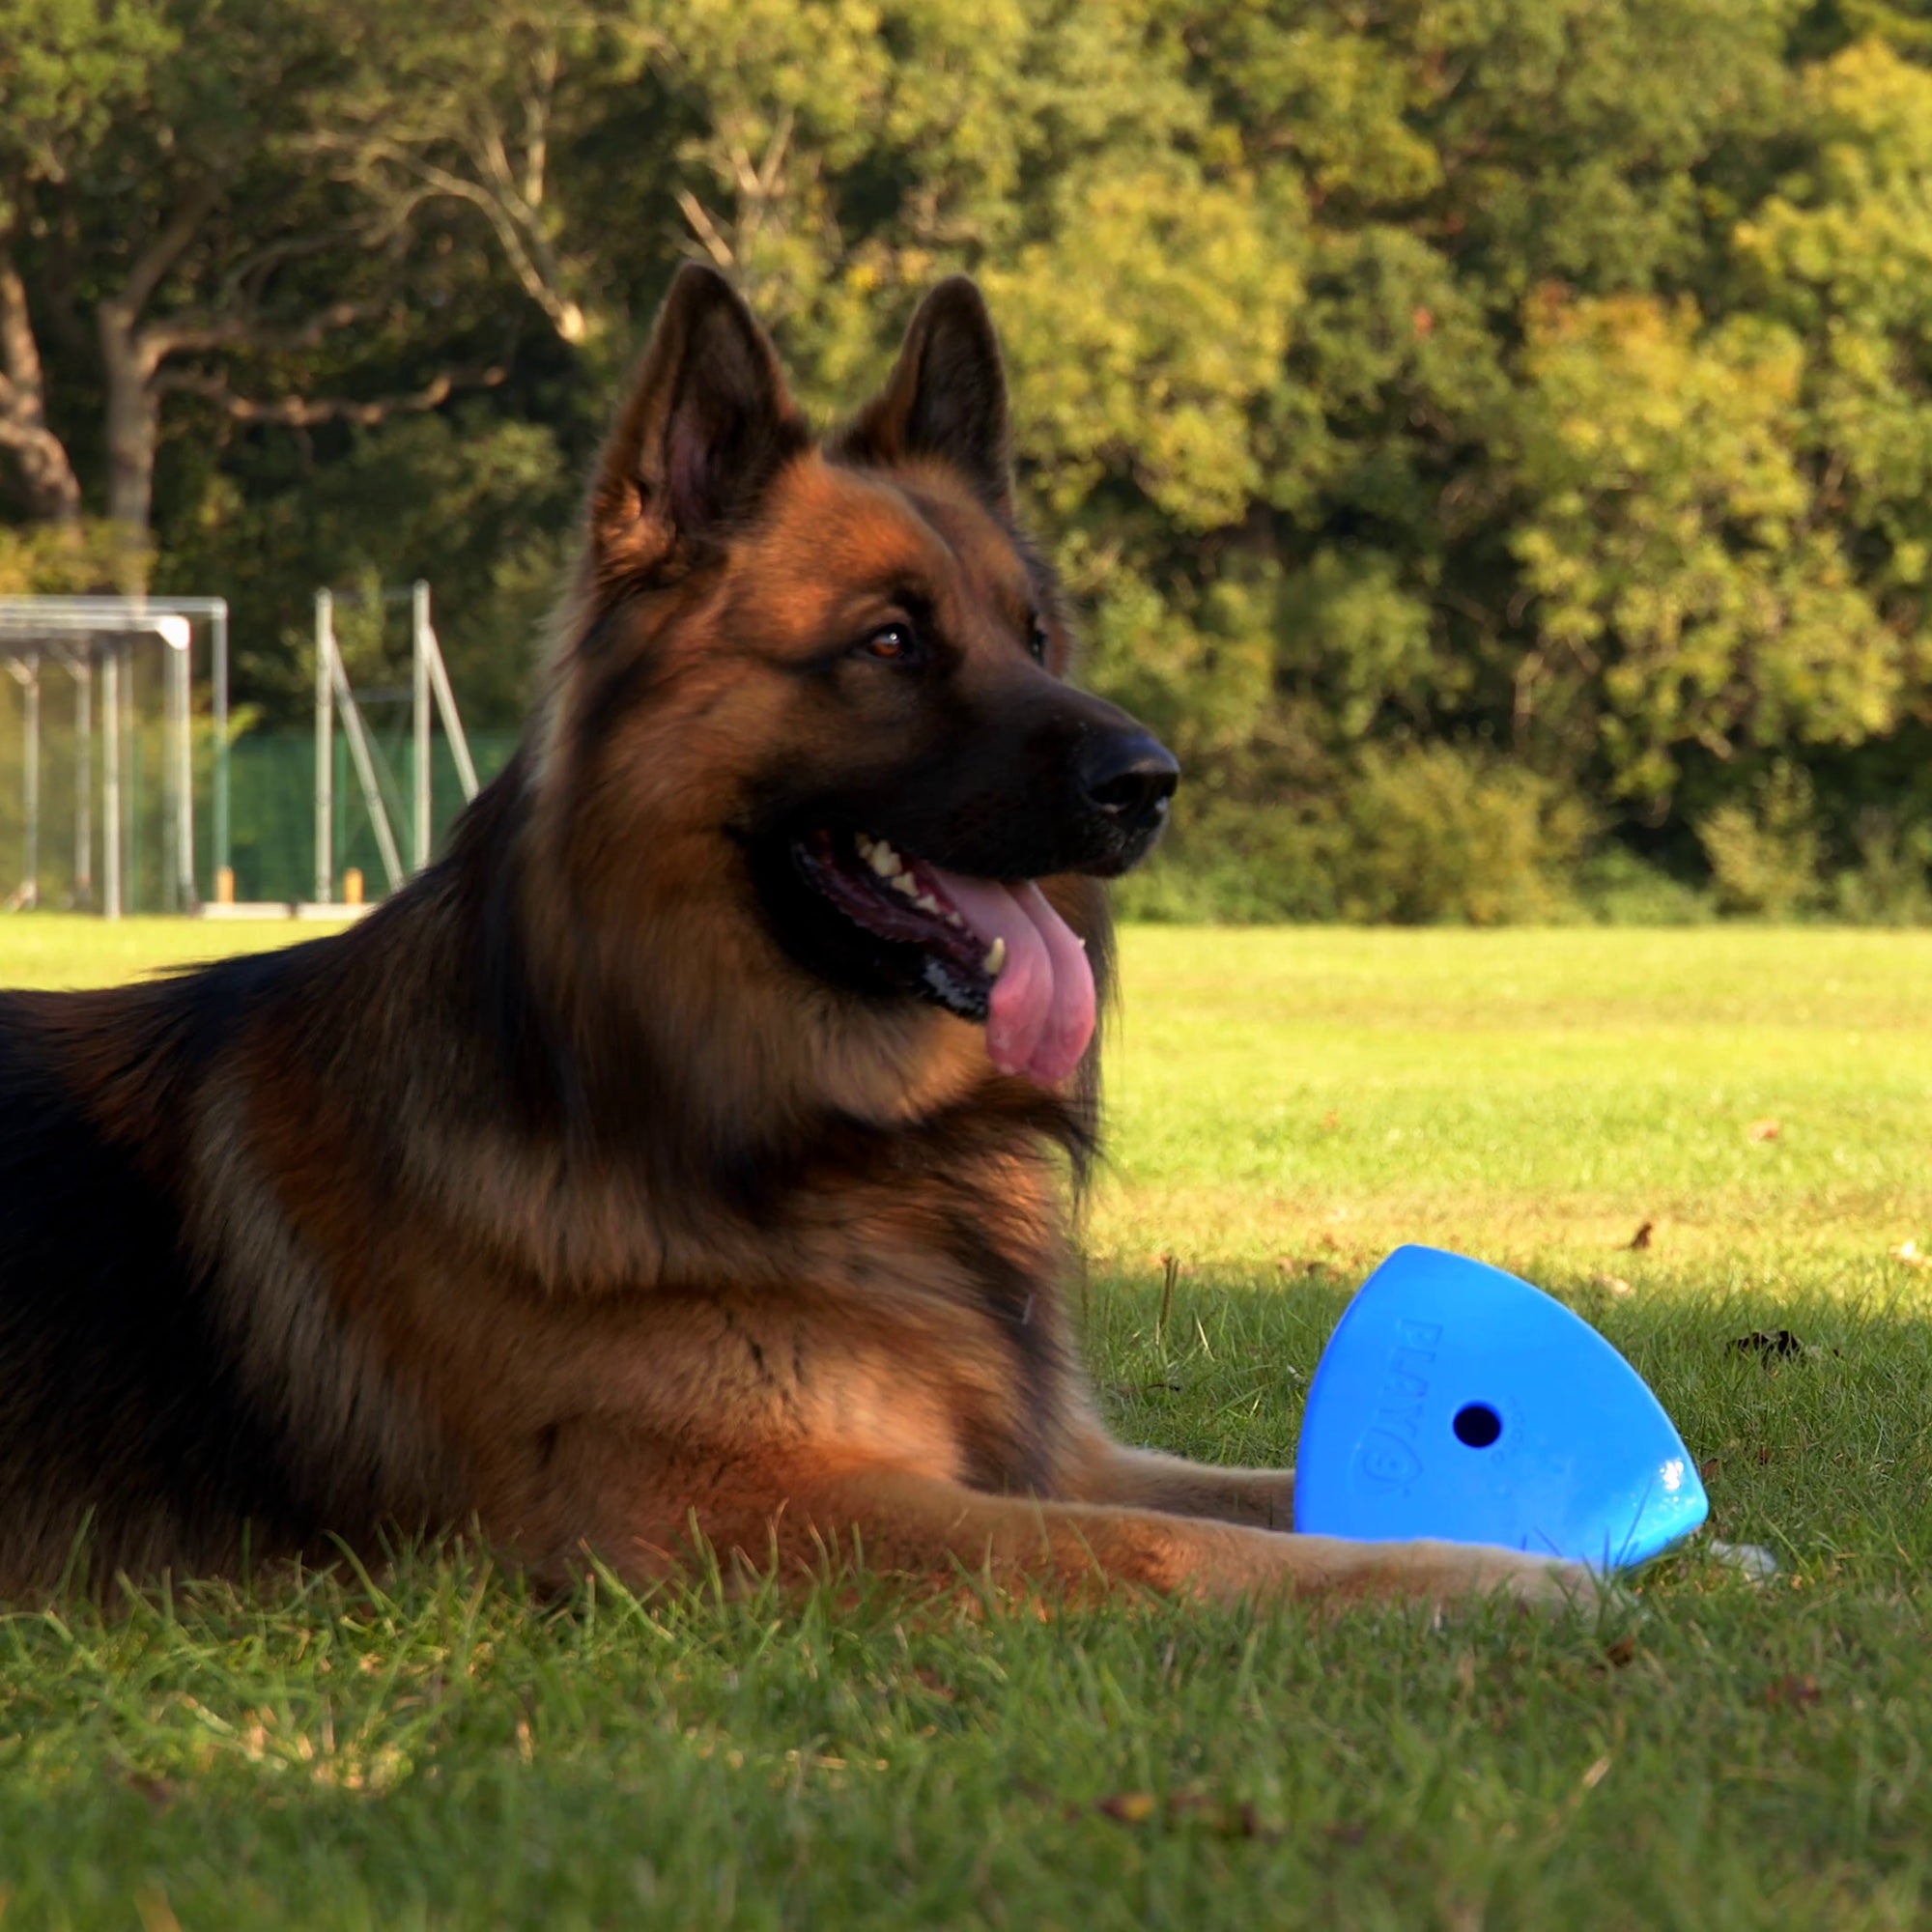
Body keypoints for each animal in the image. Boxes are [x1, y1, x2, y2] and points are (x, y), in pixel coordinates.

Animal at [0, 267, 1594, 1612]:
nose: (1152, 782)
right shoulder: (745, 1511)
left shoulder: (1046, 1449)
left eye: (1034, 636)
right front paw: (1499, 1577)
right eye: (890, 642)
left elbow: (1256, 1494)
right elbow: (1167, 1548)